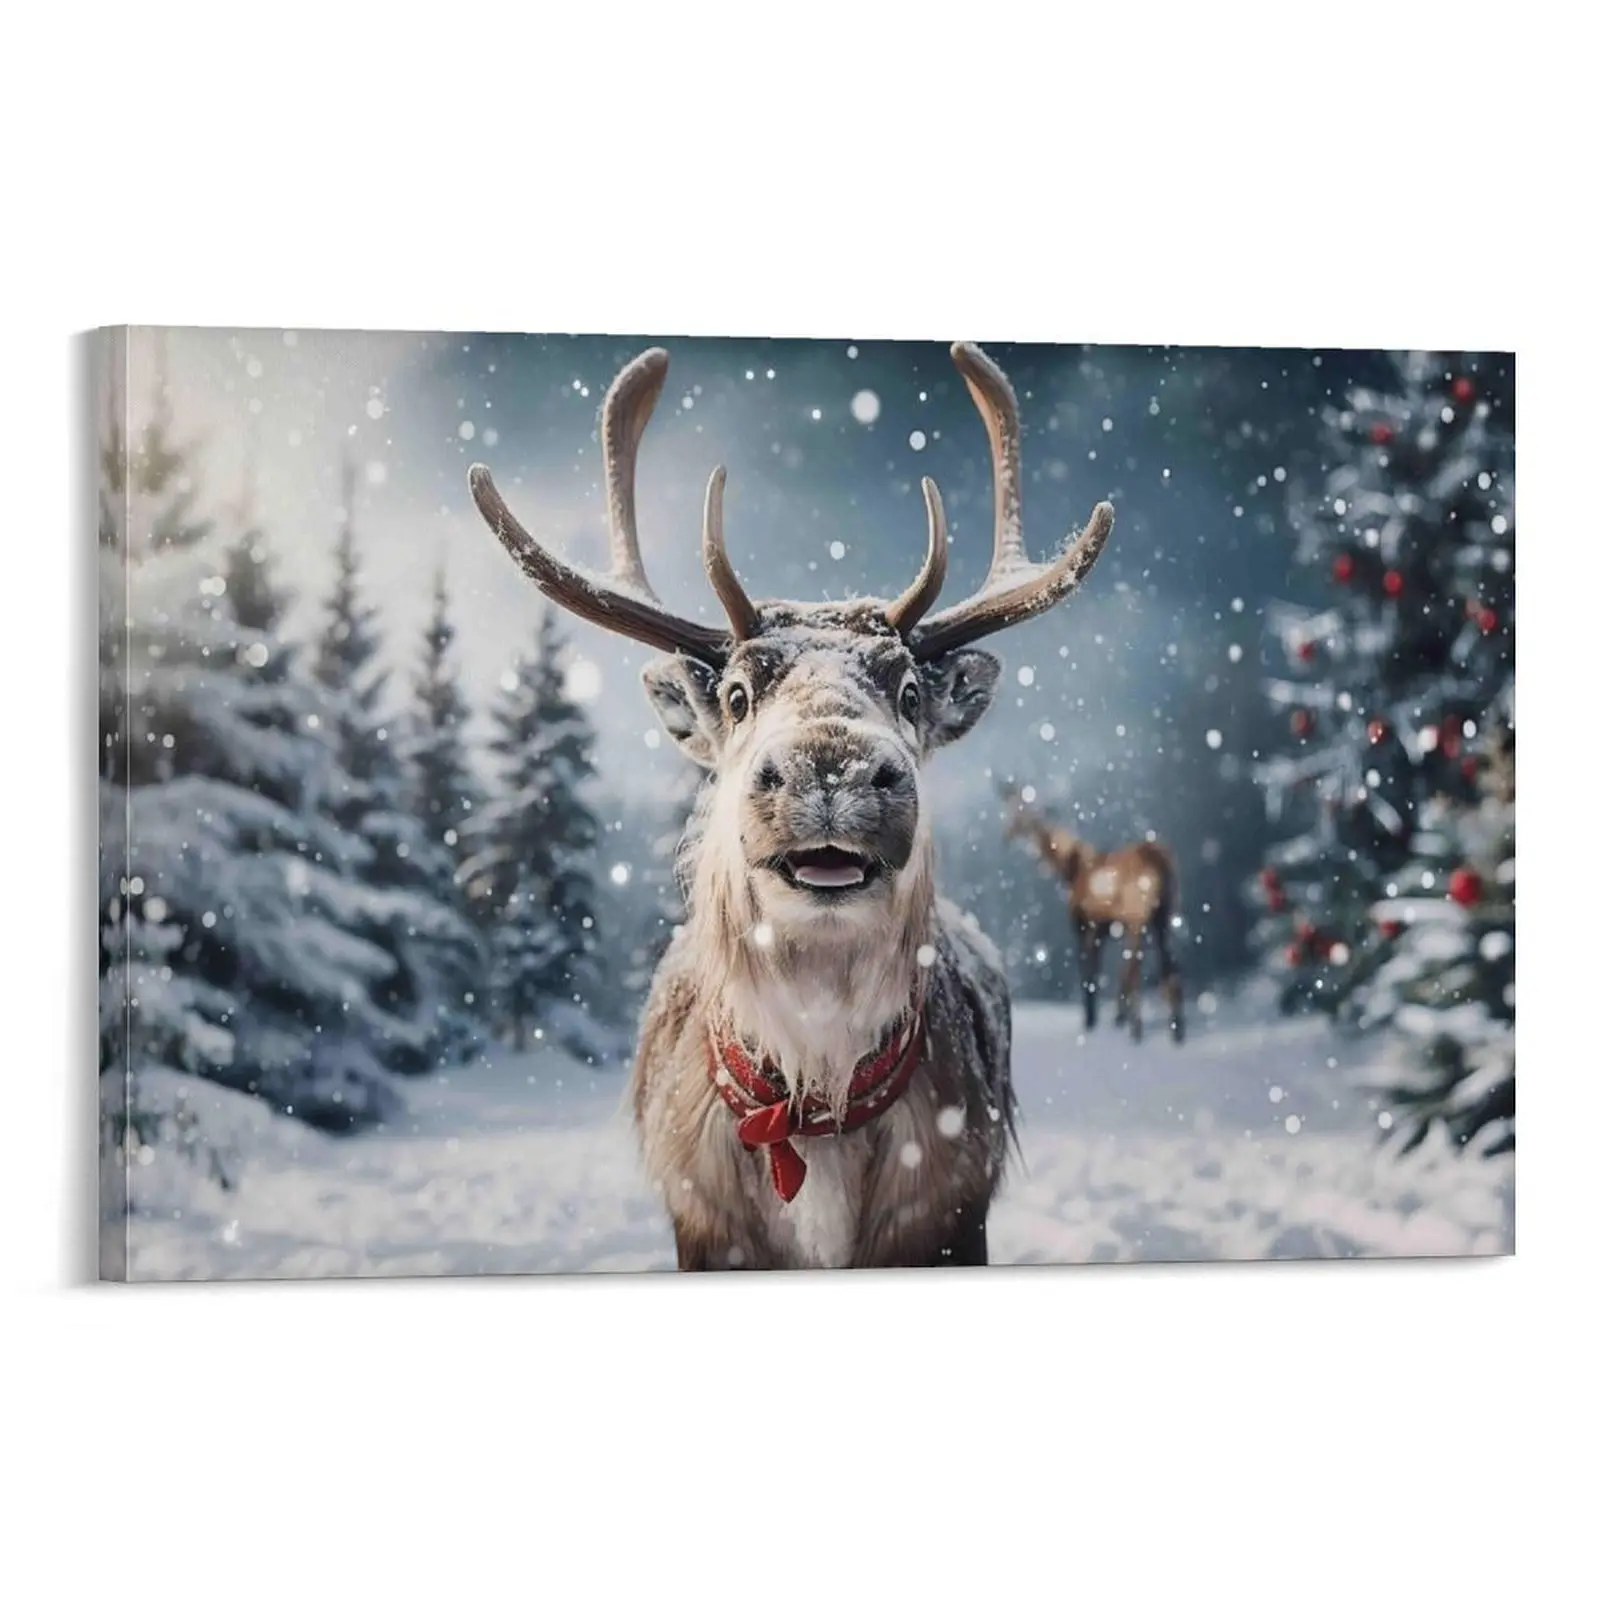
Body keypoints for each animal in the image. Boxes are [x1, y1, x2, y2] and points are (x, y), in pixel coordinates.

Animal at [467, 341, 1113, 1270]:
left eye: (909, 692)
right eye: (738, 695)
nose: (832, 765)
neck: (814, 1099)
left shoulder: (953, 1214)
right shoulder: (703, 1227)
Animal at [999, 784, 1184, 1045]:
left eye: (1020, 816)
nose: (1006, 835)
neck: (1069, 871)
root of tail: (1161, 861)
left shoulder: (1086, 925)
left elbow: (1089, 973)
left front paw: (1091, 1020)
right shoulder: (1105, 929)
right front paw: (1114, 1017)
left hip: (1138, 917)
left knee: (1136, 968)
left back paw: (1136, 1028)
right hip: (1164, 916)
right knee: (1169, 966)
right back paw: (1176, 1030)